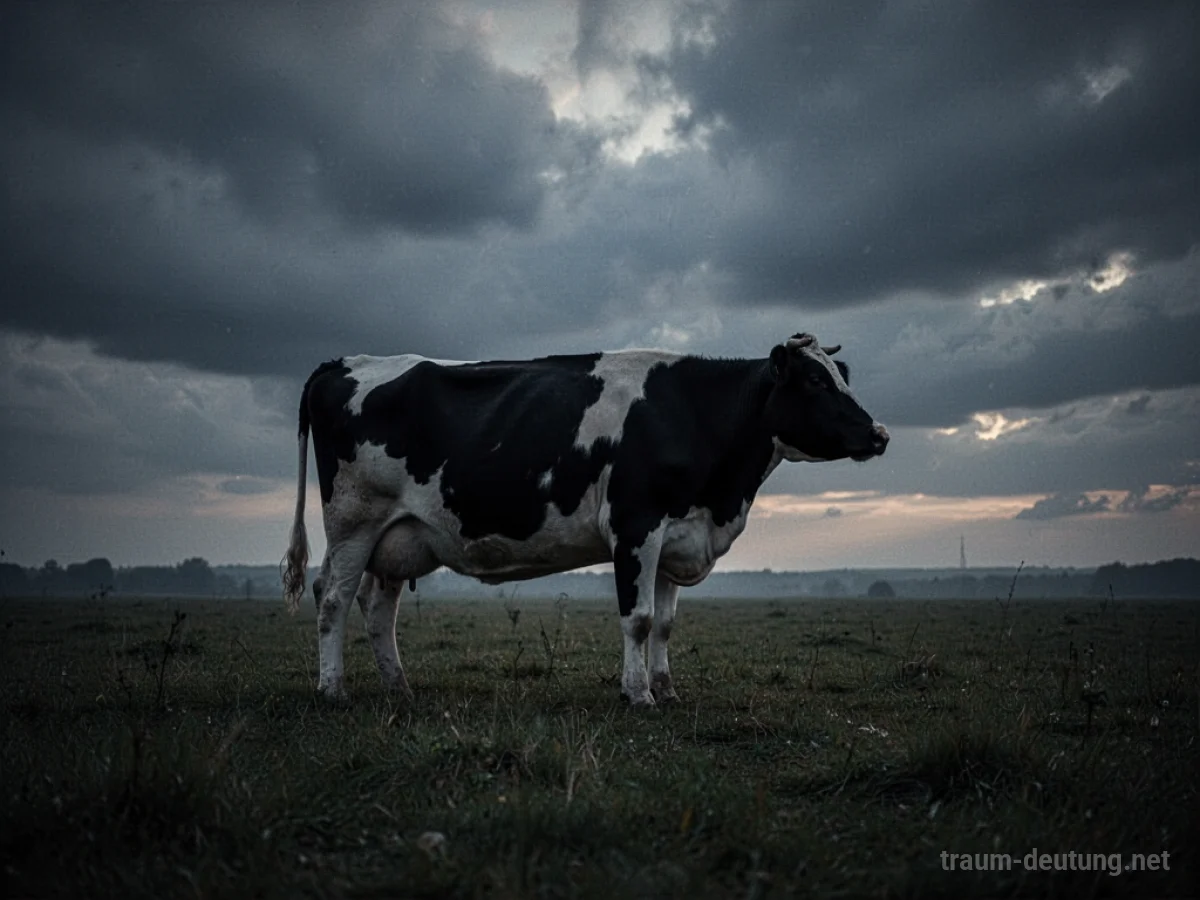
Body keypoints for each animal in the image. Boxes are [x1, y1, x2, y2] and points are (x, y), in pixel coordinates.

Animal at [282, 333, 889, 707]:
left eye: (843, 375)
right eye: (815, 382)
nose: (879, 433)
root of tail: (341, 363)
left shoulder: (677, 534)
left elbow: (665, 623)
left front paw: (666, 689)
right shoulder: (636, 525)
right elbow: (638, 618)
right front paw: (638, 694)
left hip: (398, 535)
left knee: (377, 607)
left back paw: (399, 688)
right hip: (354, 521)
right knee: (332, 596)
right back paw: (333, 690)